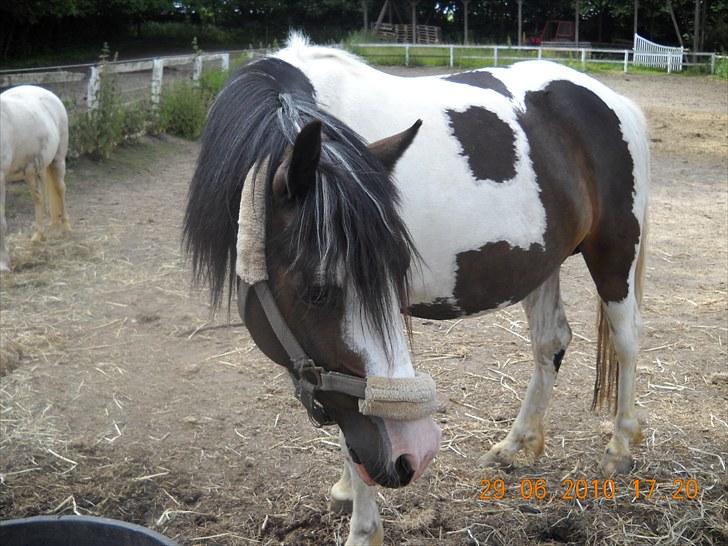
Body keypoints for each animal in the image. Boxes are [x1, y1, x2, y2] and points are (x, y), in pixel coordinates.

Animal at [0, 84, 71, 270]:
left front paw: (3, 265)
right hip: (31, 172)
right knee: (38, 198)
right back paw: (38, 236)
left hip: (58, 161)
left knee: (61, 190)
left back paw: (66, 227)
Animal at [185, 37, 652, 544]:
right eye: (316, 290)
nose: (419, 452)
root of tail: (615, 103)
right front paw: (346, 489)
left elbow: (359, 430)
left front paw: (362, 527)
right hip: (543, 263)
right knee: (550, 343)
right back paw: (514, 445)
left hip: (614, 254)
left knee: (626, 342)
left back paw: (619, 448)